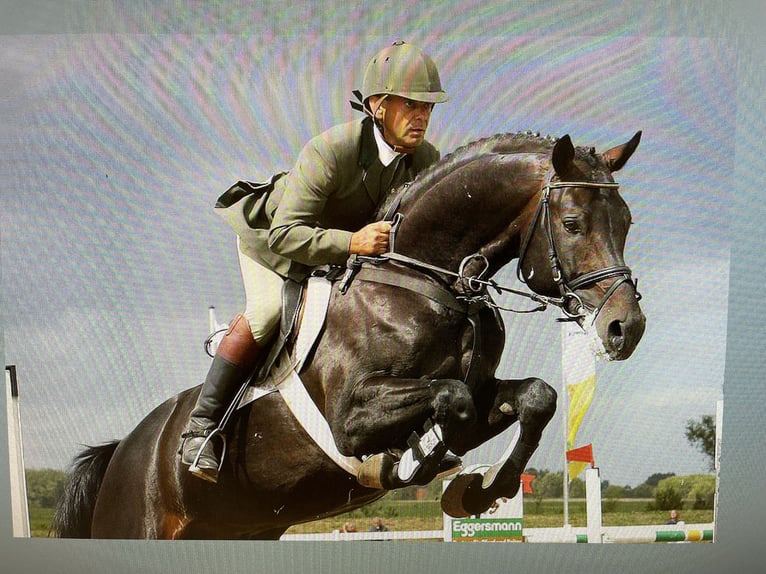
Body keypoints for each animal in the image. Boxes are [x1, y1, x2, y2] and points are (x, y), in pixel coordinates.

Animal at [49, 130, 648, 540]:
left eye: (626, 222)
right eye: (572, 224)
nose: (626, 328)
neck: (429, 278)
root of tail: (121, 451)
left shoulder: (484, 393)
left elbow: (536, 397)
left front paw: (482, 490)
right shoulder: (351, 418)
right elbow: (449, 401)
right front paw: (416, 460)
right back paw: (200, 444)